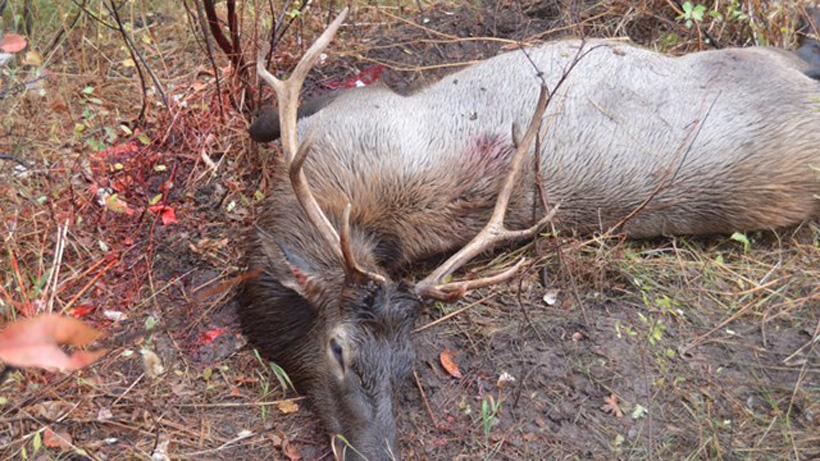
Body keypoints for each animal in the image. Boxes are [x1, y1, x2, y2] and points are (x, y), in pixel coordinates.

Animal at [238, 8, 820, 460]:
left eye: (406, 370)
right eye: (338, 350)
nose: (376, 452)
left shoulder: (358, 105)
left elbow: (260, 119)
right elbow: (260, 121)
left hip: (759, 61)